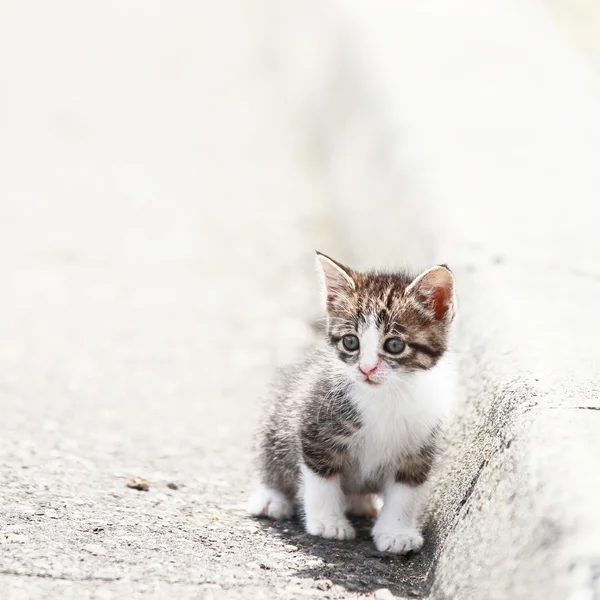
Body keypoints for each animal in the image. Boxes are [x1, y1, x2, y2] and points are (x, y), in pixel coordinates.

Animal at [246, 250, 458, 552]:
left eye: (395, 345)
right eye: (350, 342)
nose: (366, 369)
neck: (387, 395)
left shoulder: (419, 447)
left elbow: (406, 490)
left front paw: (396, 532)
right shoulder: (315, 425)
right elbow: (321, 478)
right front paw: (328, 523)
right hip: (279, 416)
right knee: (271, 456)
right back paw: (271, 498)